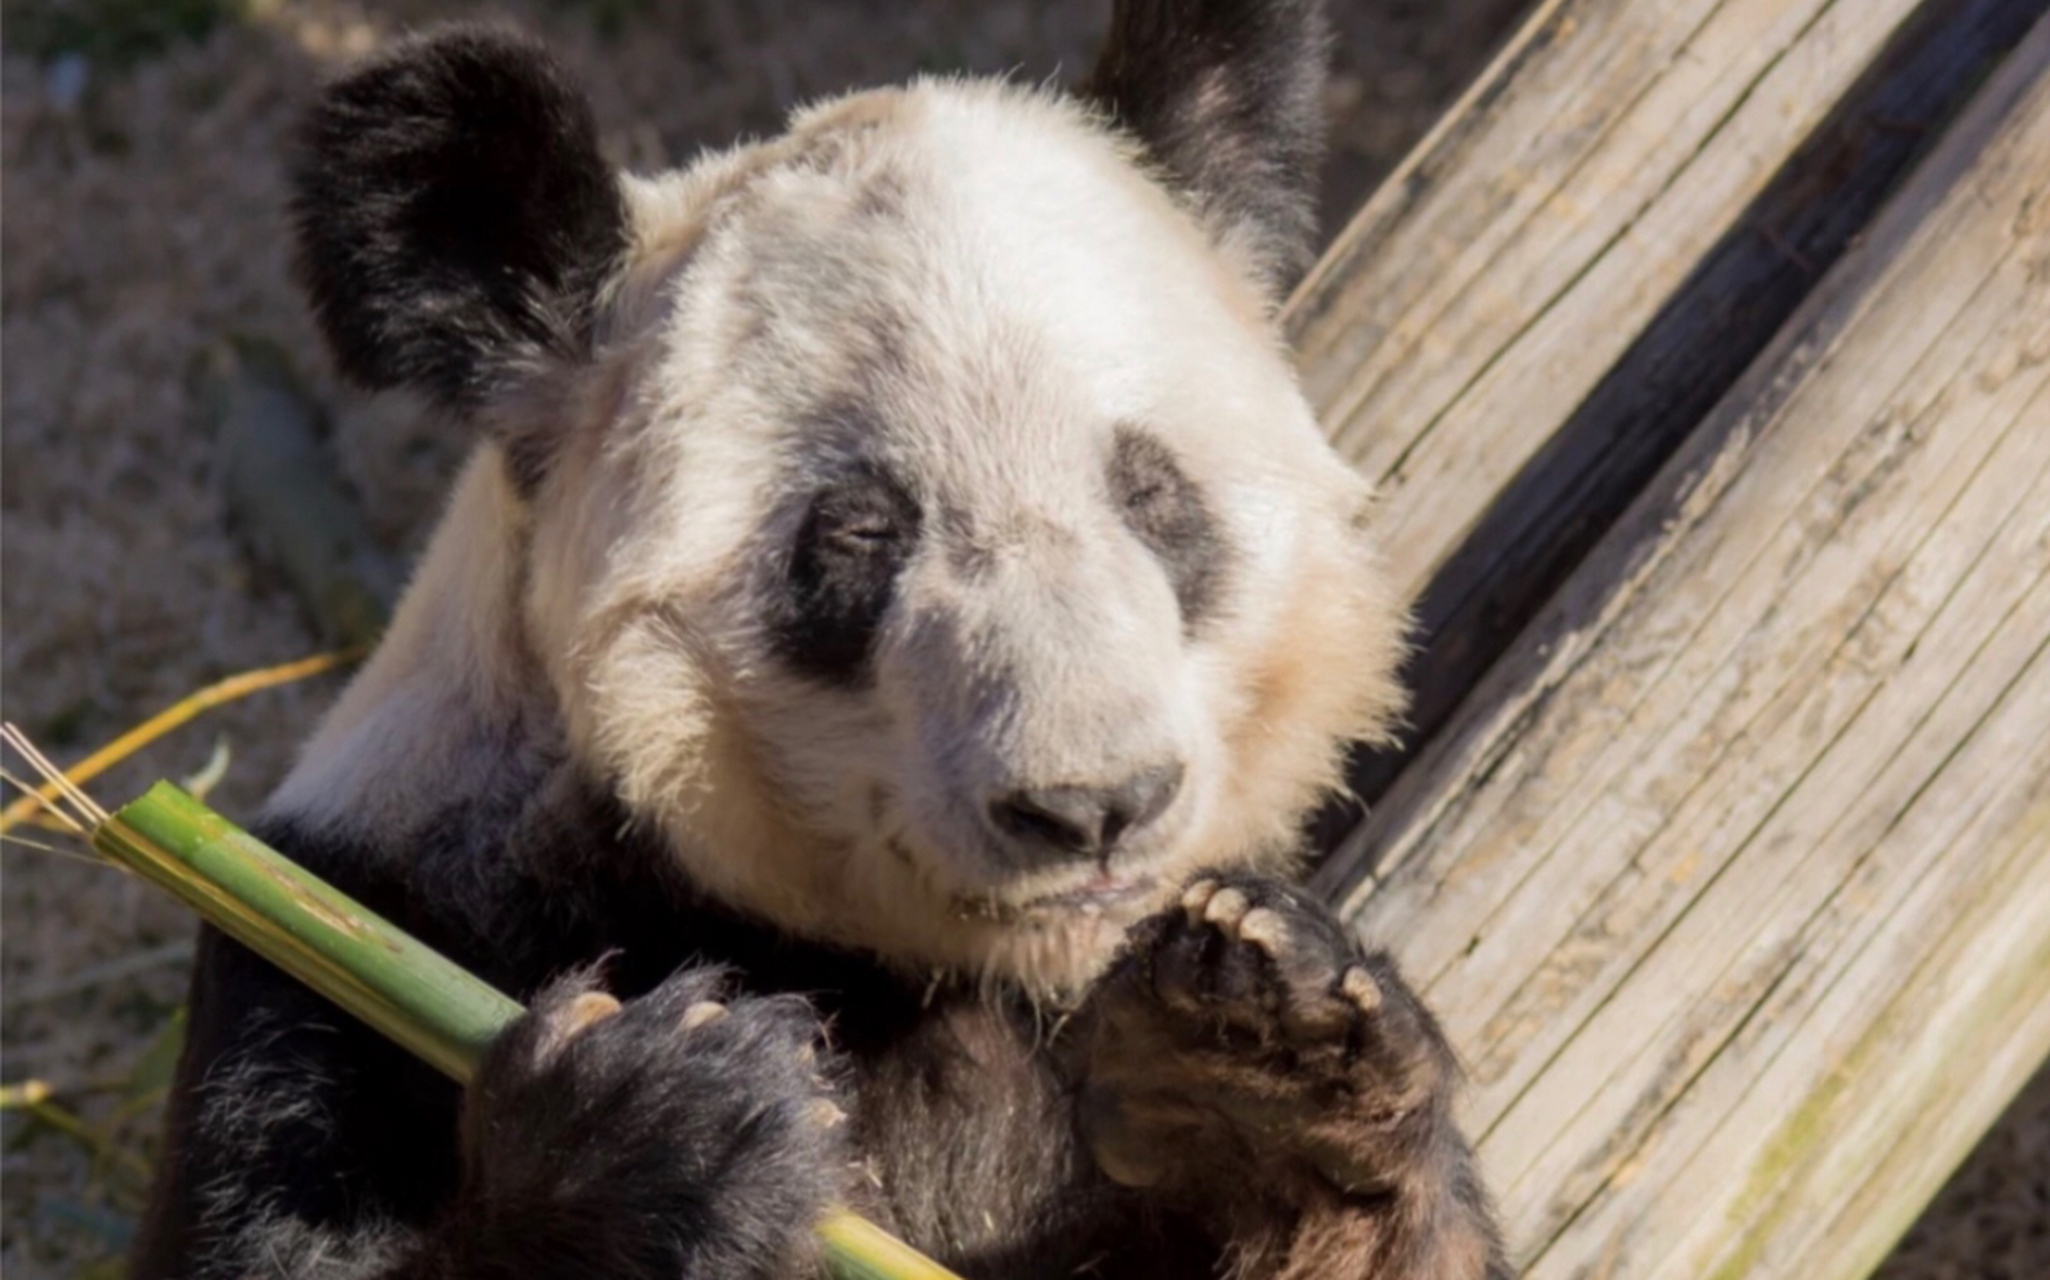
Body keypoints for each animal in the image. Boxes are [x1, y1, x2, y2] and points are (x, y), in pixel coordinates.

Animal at [132, 2, 1508, 1280]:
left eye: (1150, 494)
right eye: (857, 533)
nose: (1092, 805)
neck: (955, 972)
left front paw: (1266, 1058)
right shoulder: (352, 928)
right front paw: (671, 1120)